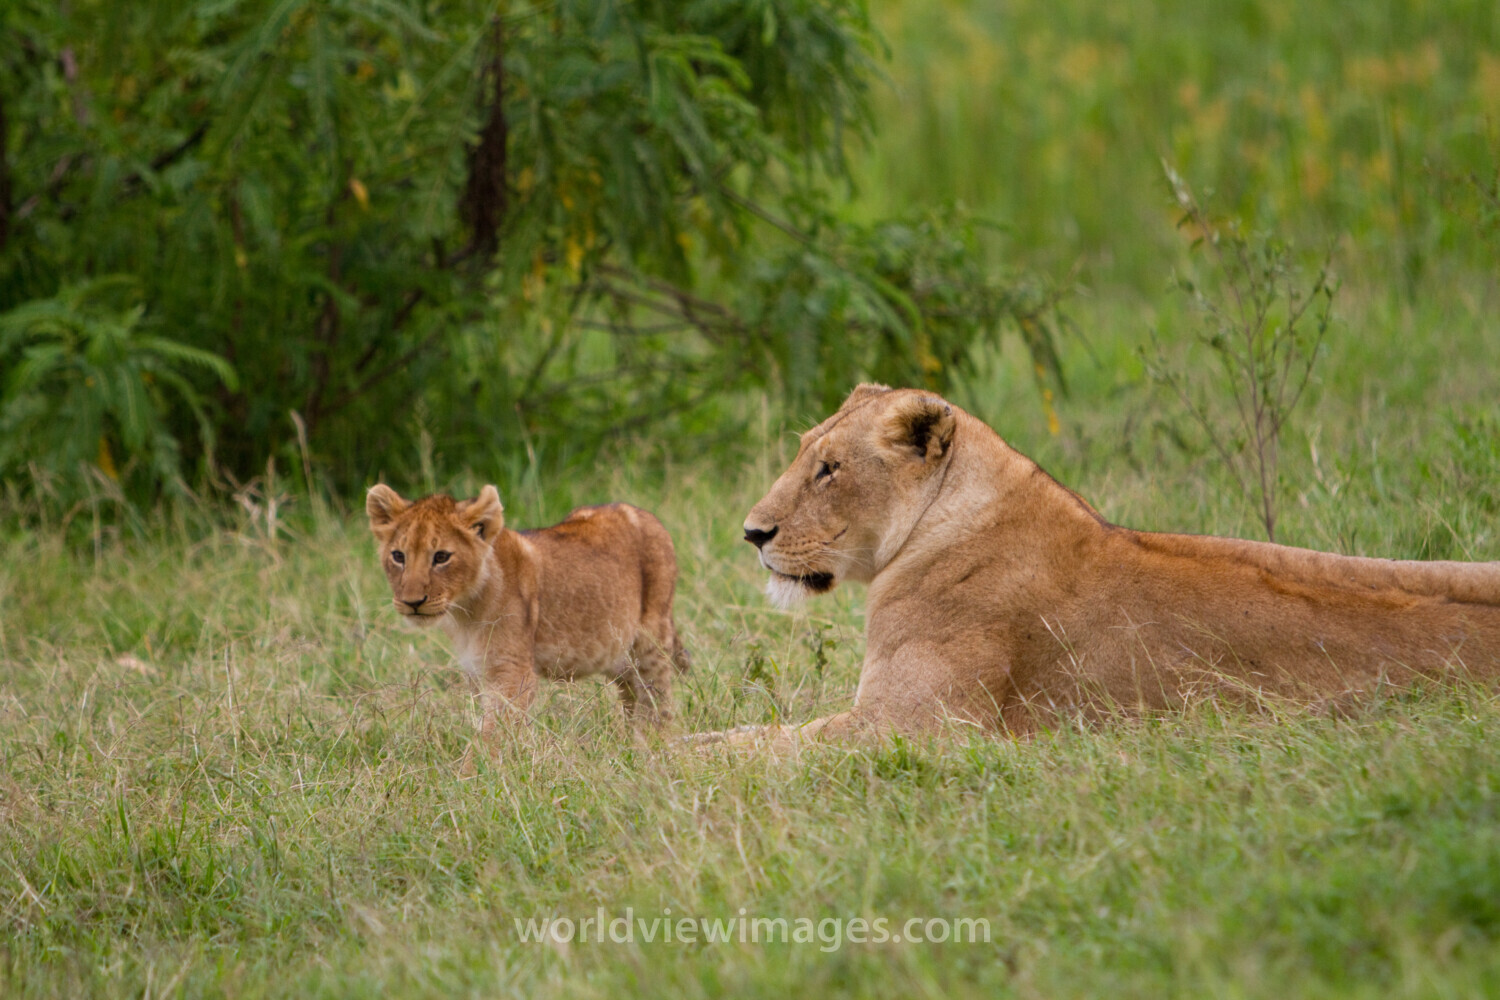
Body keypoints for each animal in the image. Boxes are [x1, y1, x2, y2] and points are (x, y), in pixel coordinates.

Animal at [366, 484, 691, 741]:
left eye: (441, 557)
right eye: (398, 556)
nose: (412, 602)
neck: (465, 611)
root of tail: (644, 514)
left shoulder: (513, 673)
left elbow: (492, 734)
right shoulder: (481, 672)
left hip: (650, 639)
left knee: (658, 700)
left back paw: (652, 745)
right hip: (617, 651)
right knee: (632, 695)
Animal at [708, 383, 1500, 747]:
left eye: (830, 469)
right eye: (804, 450)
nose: (750, 533)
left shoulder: (911, 727)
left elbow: (753, 748)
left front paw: (676, 766)